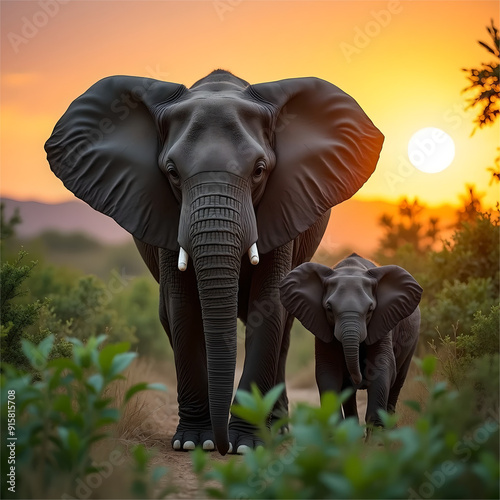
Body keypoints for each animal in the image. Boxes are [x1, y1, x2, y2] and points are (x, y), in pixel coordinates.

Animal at [46, 68, 382, 456]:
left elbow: (268, 305)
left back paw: (278, 428)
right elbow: (183, 308)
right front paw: (193, 442)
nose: (221, 447)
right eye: (172, 172)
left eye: (259, 170)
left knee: (284, 331)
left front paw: (246, 445)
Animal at [282, 254, 422, 426]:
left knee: (397, 382)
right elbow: (328, 371)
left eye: (370, 309)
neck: (351, 269)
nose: (359, 379)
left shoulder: (383, 319)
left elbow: (382, 367)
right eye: (329, 309)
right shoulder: (321, 325)